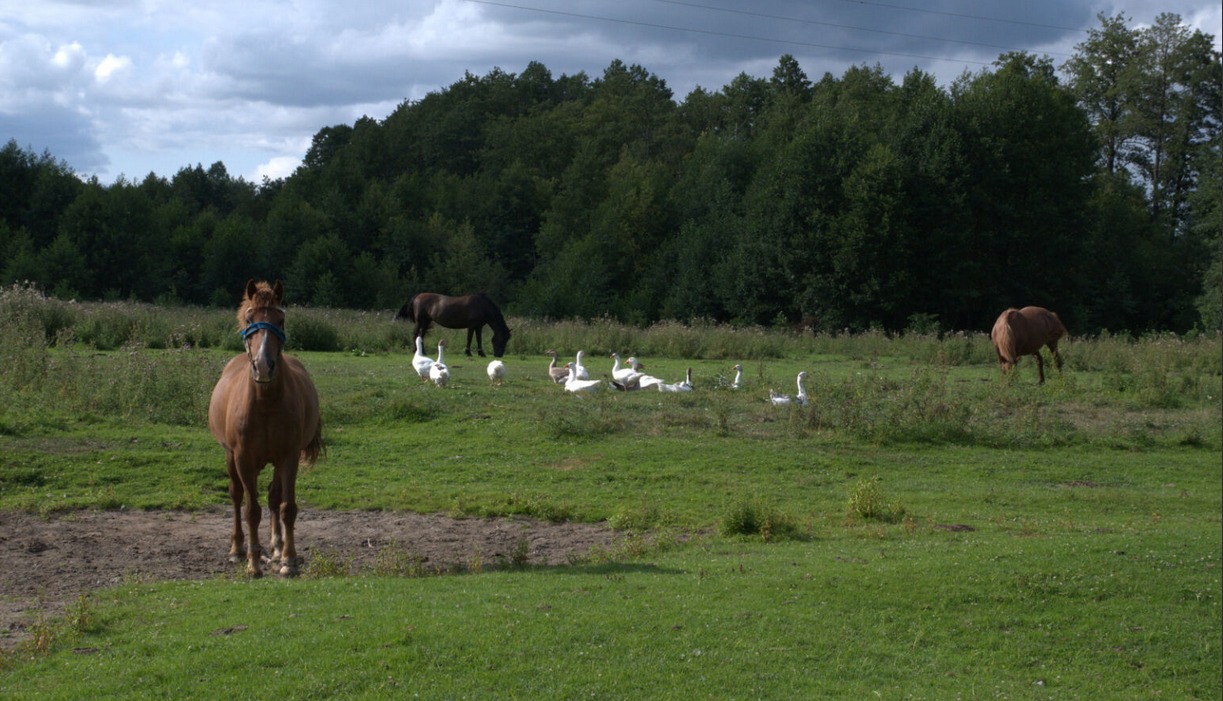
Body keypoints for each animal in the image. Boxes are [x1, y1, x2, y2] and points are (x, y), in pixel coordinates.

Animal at [208, 280, 323, 577]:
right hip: (230, 457)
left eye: (280, 320)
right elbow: (251, 510)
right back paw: (238, 550)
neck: (266, 403)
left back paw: (276, 548)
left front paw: (288, 560)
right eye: (250, 319)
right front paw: (252, 562)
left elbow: (286, 507)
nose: (262, 365)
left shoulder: (289, 457)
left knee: (273, 497)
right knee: (236, 495)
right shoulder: (243, 459)